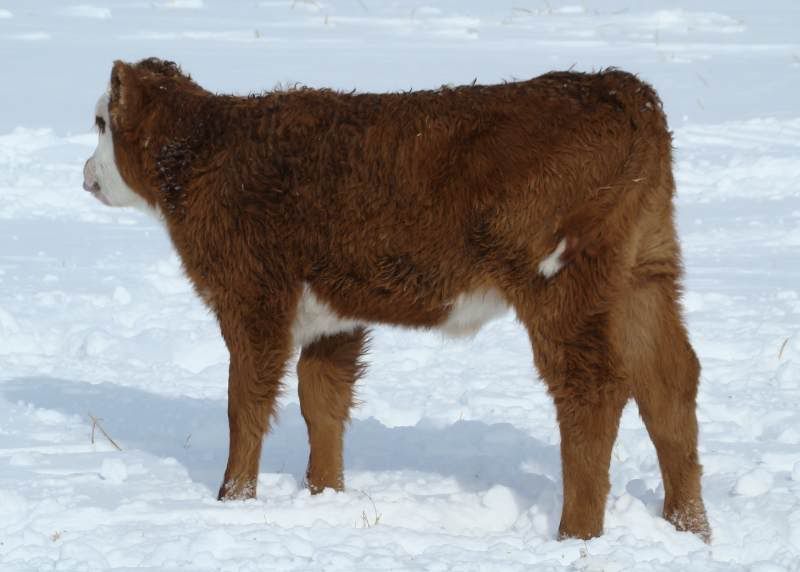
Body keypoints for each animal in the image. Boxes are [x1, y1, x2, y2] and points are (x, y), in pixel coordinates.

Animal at [82, 58, 710, 542]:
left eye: (100, 122)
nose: (86, 175)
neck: (203, 157)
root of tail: (619, 89)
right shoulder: (332, 316)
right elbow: (322, 401)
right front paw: (325, 495)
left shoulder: (252, 299)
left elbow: (247, 406)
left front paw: (231, 500)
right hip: (646, 272)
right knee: (669, 381)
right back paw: (690, 529)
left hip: (561, 284)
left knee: (594, 389)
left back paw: (576, 535)